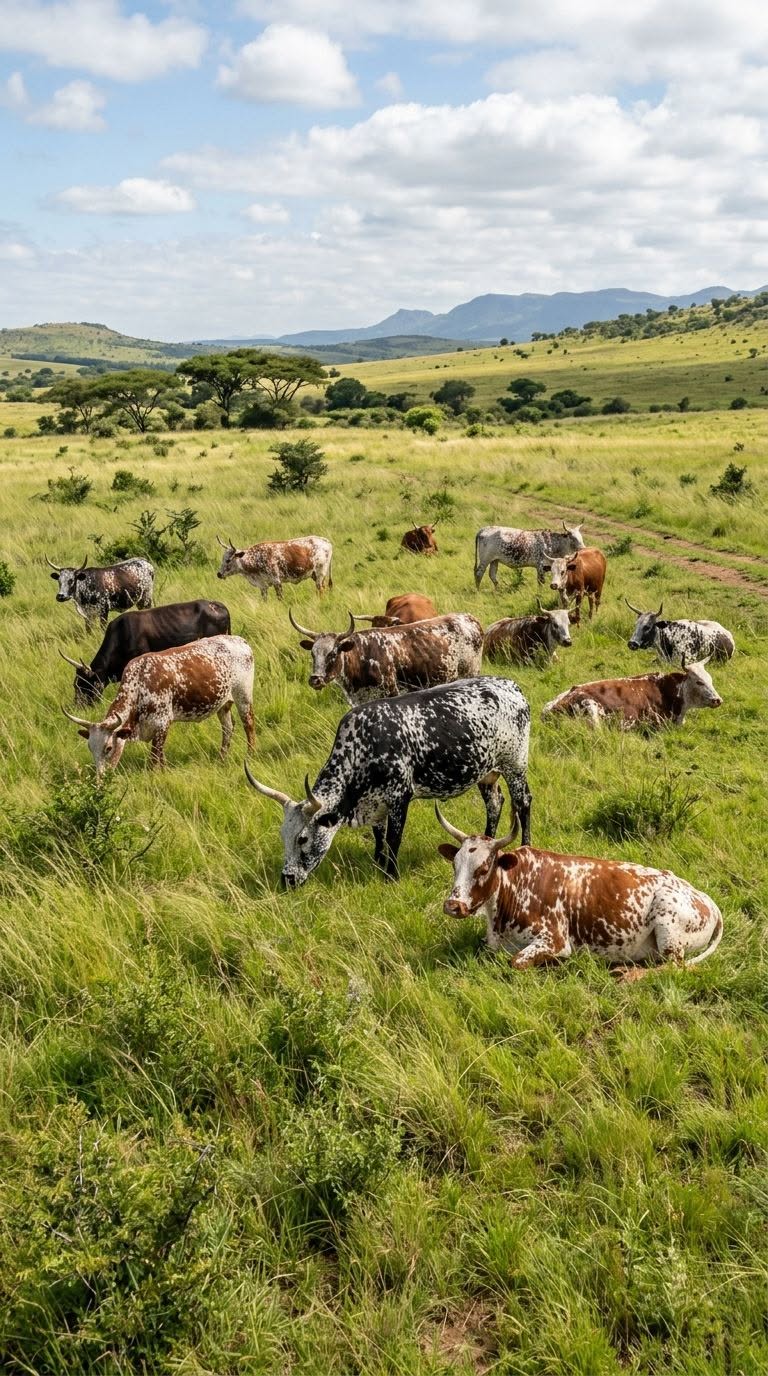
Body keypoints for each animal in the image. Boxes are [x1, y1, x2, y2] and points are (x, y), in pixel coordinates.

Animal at [62, 635, 255, 778]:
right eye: (90, 747)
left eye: (108, 748)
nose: (100, 778)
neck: (140, 684)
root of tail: (239, 640)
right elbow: (161, 758)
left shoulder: (162, 724)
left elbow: (154, 758)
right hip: (223, 703)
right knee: (228, 728)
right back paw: (222, 758)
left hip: (243, 696)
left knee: (248, 725)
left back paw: (250, 754)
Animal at [244, 676, 531, 885]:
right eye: (283, 835)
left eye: (302, 838)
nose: (287, 879)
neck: (363, 745)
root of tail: (512, 686)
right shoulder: (377, 802)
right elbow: (378, 834)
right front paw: (378, 860)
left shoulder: (399, 797)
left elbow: (394, 838)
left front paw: (390, 875)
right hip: (487, 772)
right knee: (494, 803)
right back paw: (485, 843)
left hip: (515, 765)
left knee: (523, 802)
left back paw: (525, 846)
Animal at [290, 609, 484, 705]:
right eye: (313, 653)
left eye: (333, 653)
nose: (315, 680)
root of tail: (469, 618)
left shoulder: (390, 693)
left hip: (471, 673)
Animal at [435, 807, 723, 979]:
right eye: (455, 864)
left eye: (483, 868)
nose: (453, 905)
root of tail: (706, 899)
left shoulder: (554, 940)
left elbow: (516, 961)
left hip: (667, 922)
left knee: (675, 967)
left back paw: (626, 974)